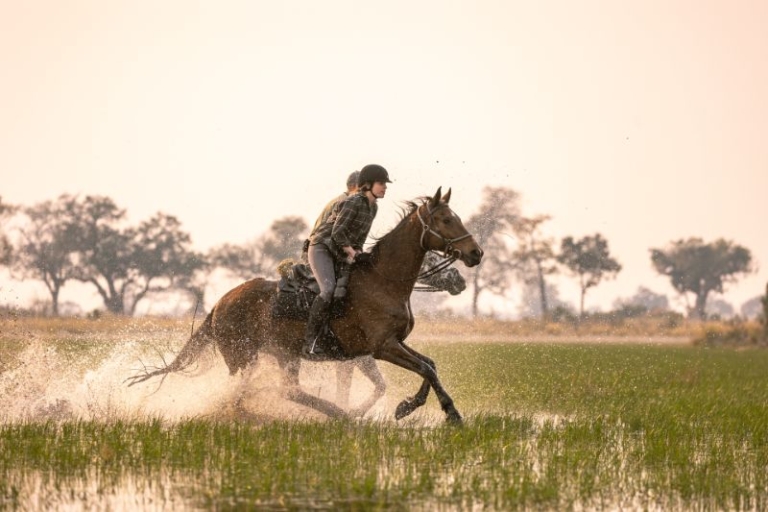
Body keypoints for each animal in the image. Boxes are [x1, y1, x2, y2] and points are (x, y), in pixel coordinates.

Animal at [127, 187, 483, 424]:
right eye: (446, 219)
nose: (476, 253)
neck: (384, 280)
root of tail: (219, 304)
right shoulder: (382, 347)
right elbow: (424, 368)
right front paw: (450, 413)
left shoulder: (390, 345)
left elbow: (429, 365)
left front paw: (408, 406)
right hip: (253, 357)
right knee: (257, 396)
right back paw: (332, 414)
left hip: (277, 354)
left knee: (273, 394)